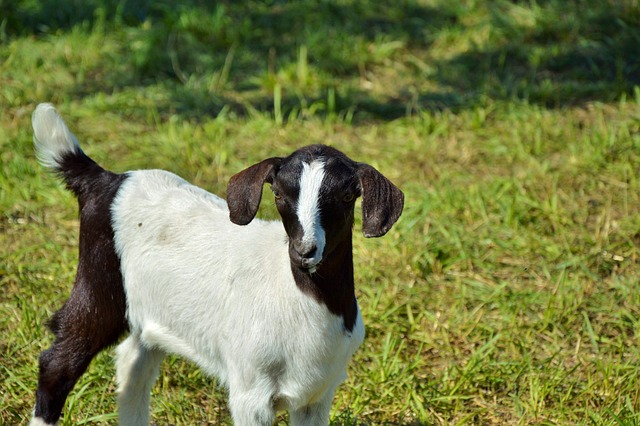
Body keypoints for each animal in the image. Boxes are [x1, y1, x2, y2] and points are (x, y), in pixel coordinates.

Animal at [30, 104, 404, 426]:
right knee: (57, 364)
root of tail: (107, 182)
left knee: (132, 367)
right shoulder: (251, 391)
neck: (303, 297)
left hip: (151, 312)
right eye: (279, 195)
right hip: (98, 284)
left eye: (346, 197)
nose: (304, 250)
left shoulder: (317, 394)